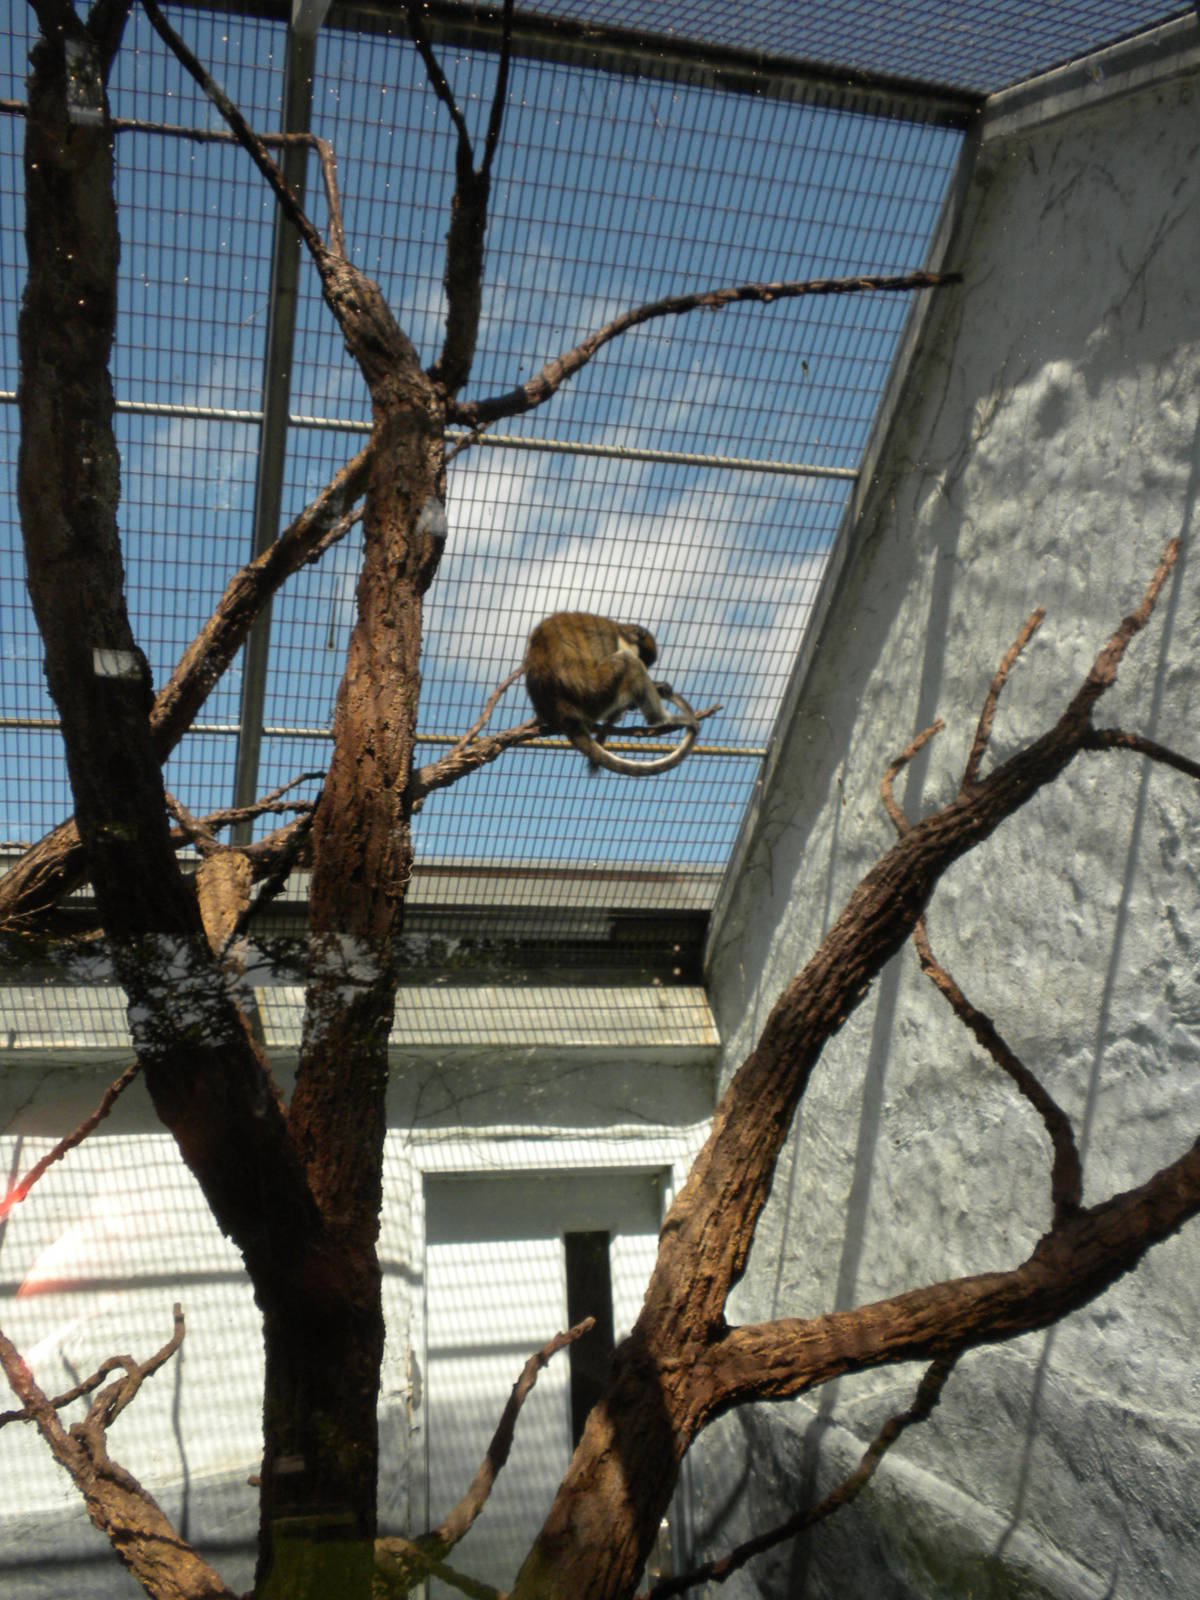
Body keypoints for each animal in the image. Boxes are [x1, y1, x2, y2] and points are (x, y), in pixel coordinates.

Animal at [523, 611, 698, 776]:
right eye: (644, 660)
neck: (619, 633)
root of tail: (561, 711)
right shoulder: (606, 637)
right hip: (596, 698)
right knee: (628, 661)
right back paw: (659, 718)